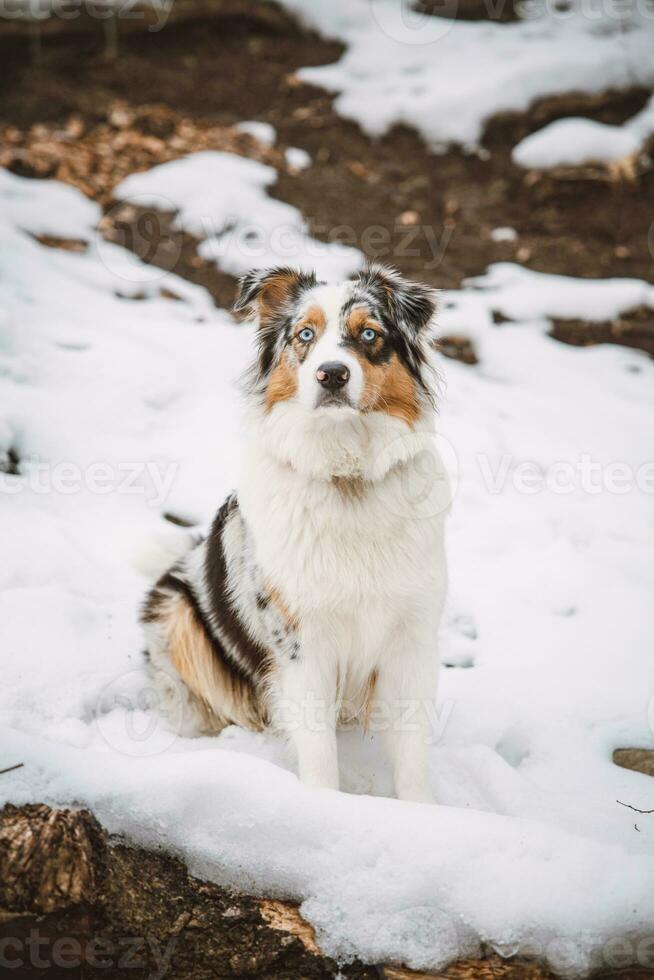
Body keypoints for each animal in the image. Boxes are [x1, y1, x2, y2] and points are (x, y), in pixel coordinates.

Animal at [142, 262, 452, 804]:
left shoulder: (411, 636)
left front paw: (423, 813)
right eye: (304, 335)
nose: (332, 373)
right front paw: (323, 807)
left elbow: (411, 748)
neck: (347, 477)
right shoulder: (299, 640)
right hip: (177, 615)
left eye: (369, 334)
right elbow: (318, 746)